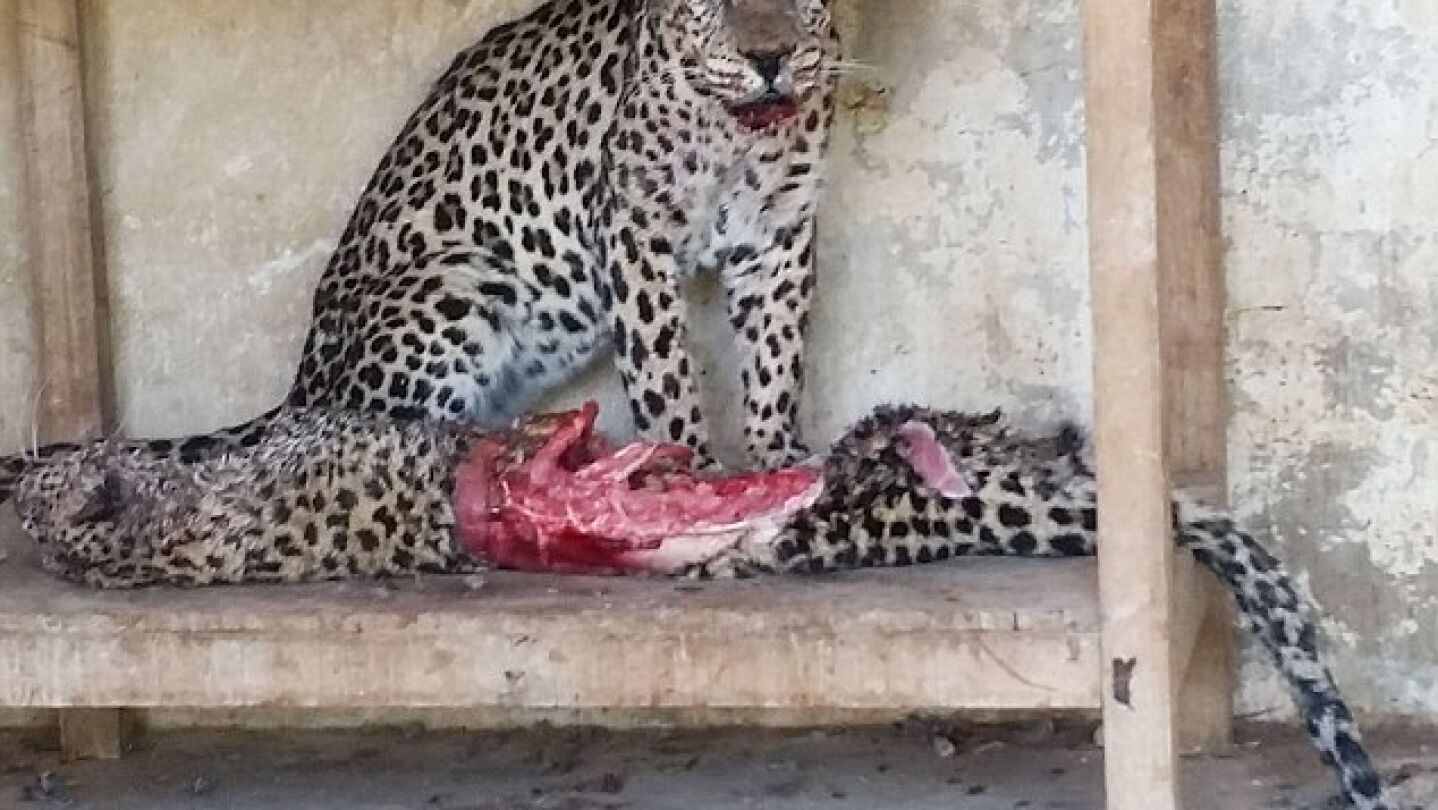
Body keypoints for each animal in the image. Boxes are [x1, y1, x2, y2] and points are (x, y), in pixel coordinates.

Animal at [0, 0, 839, 502]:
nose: (770, 58)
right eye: (712, 1)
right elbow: (664, 365)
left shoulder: (780, 231)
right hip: (456, 285)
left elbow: (777, 352)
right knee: (377, 436)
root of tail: (304, 381)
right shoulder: (638, 230)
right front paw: (688, 464)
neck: (741, 136)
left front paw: (776, 452)